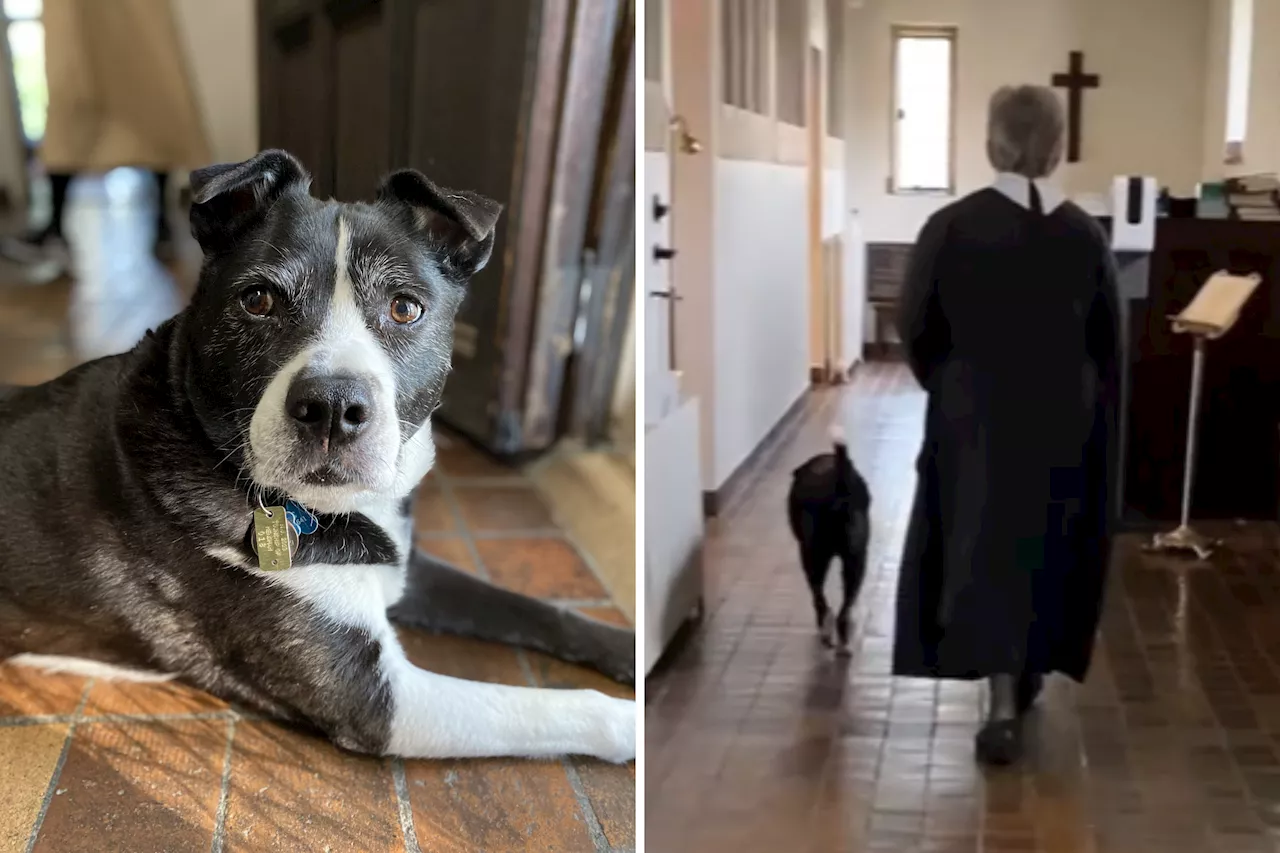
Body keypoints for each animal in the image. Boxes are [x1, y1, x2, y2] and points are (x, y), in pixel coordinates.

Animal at [0, 149, 634, 758]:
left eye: (405, 308)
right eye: (257, 300)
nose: (332, 406)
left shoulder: (400, 565)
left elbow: (534, 608)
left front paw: (628, 649)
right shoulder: (374, 700)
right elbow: (555, 706)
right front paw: (629, 726)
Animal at [783, 425, 875, 650]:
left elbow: (818, 596)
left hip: (813, 556)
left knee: (819, 597)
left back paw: (826, 629)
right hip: (856, 559)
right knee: (845, 606)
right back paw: (845, 641)